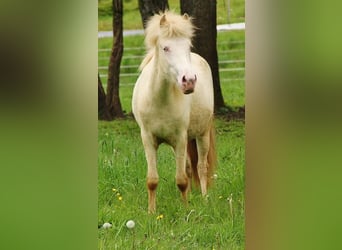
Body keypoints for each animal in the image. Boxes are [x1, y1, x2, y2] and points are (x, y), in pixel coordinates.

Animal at [132, 10, 215, 212]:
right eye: (165, 48)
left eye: (187, 47)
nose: (189, 81)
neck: (159, 101)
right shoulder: (148, 139)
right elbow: (152, 180)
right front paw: (151, 212)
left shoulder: (180, 137)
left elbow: (182, 180)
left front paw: (185, 210)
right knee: (188, 167)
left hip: (202, 135)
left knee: (201, 167)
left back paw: (204, 198)